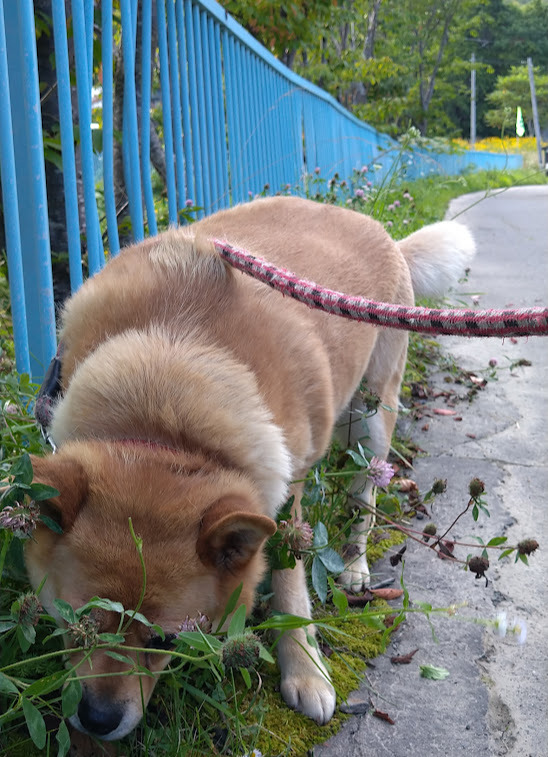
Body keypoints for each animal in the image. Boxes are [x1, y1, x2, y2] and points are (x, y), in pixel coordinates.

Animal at [23, 195, 474, 740]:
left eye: (166, 642)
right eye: (76, 625)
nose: (97, 720)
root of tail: (385, 235)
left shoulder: (285, 500)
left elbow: (289, 588)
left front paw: (306, 669)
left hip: (369, 423)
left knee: (364, 494)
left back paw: (355, 565)